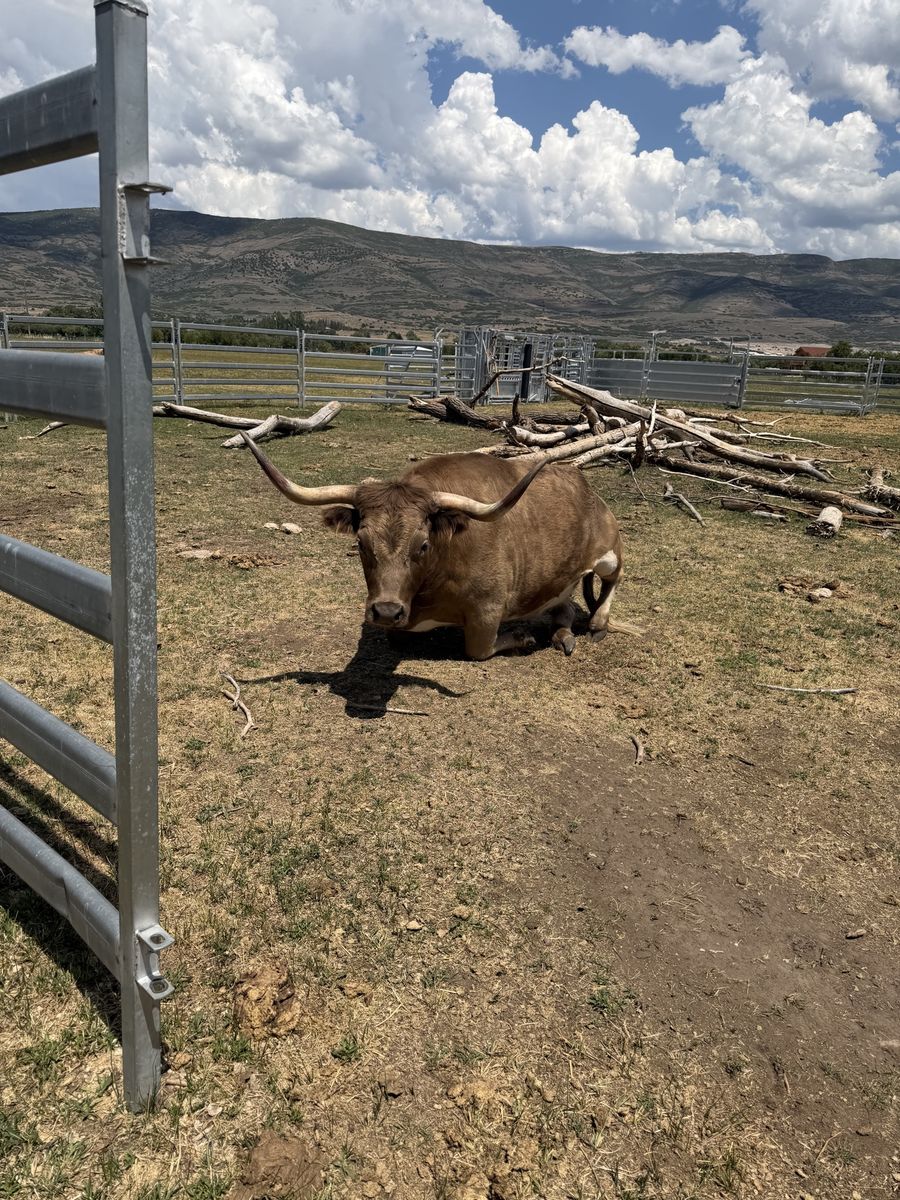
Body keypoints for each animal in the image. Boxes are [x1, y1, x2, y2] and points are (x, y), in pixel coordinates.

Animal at [242, 433, 636, 659]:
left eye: (423, 545)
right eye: (361, 542)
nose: (386, 611)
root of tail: (586, 487)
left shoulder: (488, 611)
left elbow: (478, 650)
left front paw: (523, 638)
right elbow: (397, 637)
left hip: (610, 551)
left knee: (613, 580)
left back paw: (597, 625)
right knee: (564, 606)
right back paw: (562, 634)